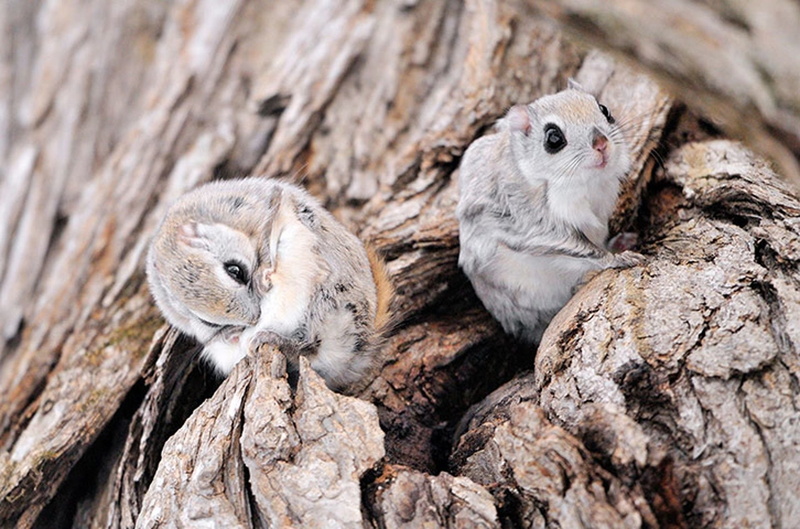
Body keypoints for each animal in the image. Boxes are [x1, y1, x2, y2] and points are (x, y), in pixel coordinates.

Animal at [146, 178, 393, 392]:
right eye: (208, 322)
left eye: (235, 270)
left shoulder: (257, 209)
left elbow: (268, 234)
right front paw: (231, 333)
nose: (254, 318)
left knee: (311, 345)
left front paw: (263, 276)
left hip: (327, 302)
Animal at [456, 81, 644, 344]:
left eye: (604, 109)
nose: (601, 143)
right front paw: (616, 259)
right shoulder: (527, 218)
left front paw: (617, 245)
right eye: (553, 138)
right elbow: (579, 246)